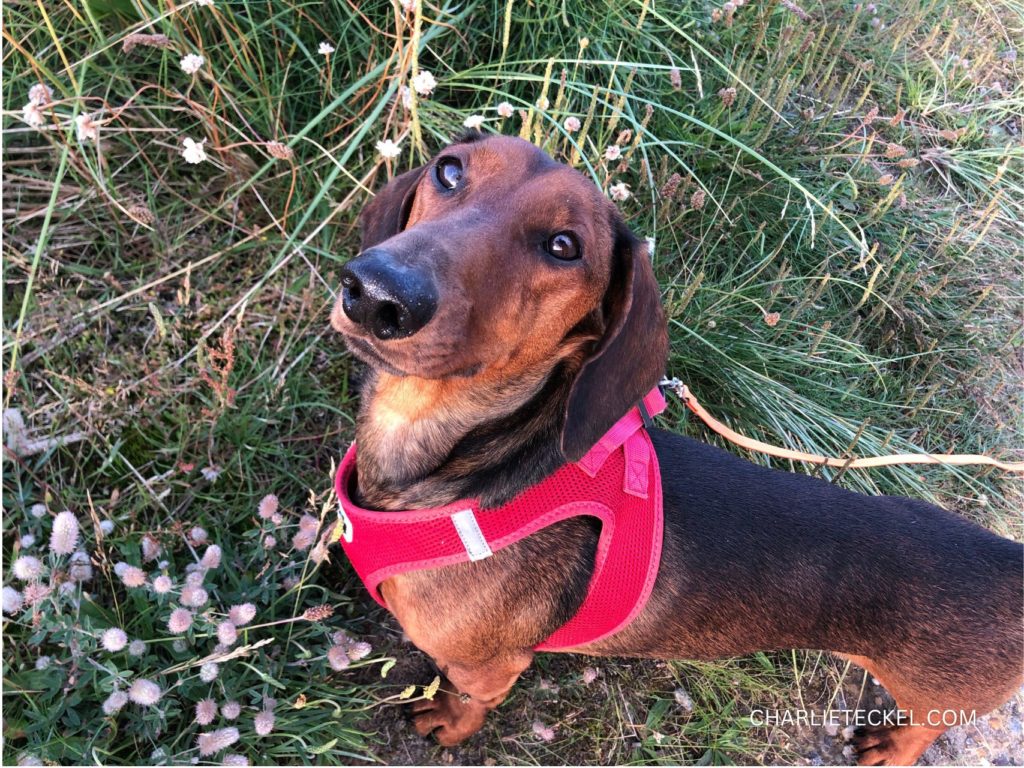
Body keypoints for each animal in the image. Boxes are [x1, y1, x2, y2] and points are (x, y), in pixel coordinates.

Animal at [329, 132, 1024, 765]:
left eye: (564, 246)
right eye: (449, 171)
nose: (378, 292)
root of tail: (1012, 560)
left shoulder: (490, 664)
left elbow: (471, 699)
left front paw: (449, 723)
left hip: (931, 694)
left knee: (925, 729)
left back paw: (889, 747)